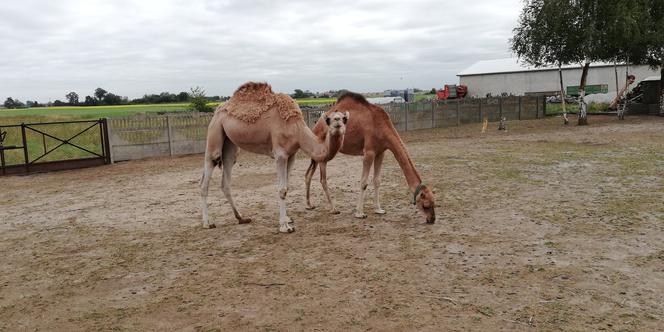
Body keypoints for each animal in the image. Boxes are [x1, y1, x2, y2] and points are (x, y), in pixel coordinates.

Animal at [201, 82, 350, 232]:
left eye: (344, 119)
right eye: (329, 120)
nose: (337, 122)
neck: (296, 128)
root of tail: (218, 109)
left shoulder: (292, 155)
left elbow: (287, 186)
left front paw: (287, 219)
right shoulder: (280, 154)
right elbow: (282, 189)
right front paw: (285, 226)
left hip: (230, 143)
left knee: (226, 175)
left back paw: (241, 218)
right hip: (215, 130)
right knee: (207, 172)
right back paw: (207, 223)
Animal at [304, 91, 438, 223]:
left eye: (434, 203)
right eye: (426, 205)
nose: (432, 219)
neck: (382, 127)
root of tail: (316, 124)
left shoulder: (381, 152)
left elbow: (377, 181)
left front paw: (379, 209)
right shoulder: (369, 152)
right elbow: (363, 182)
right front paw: (360, 213)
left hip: (318, 154)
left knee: (308, 175)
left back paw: (309, 205)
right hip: (322, 150)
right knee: (323, 179)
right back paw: (333, 209)